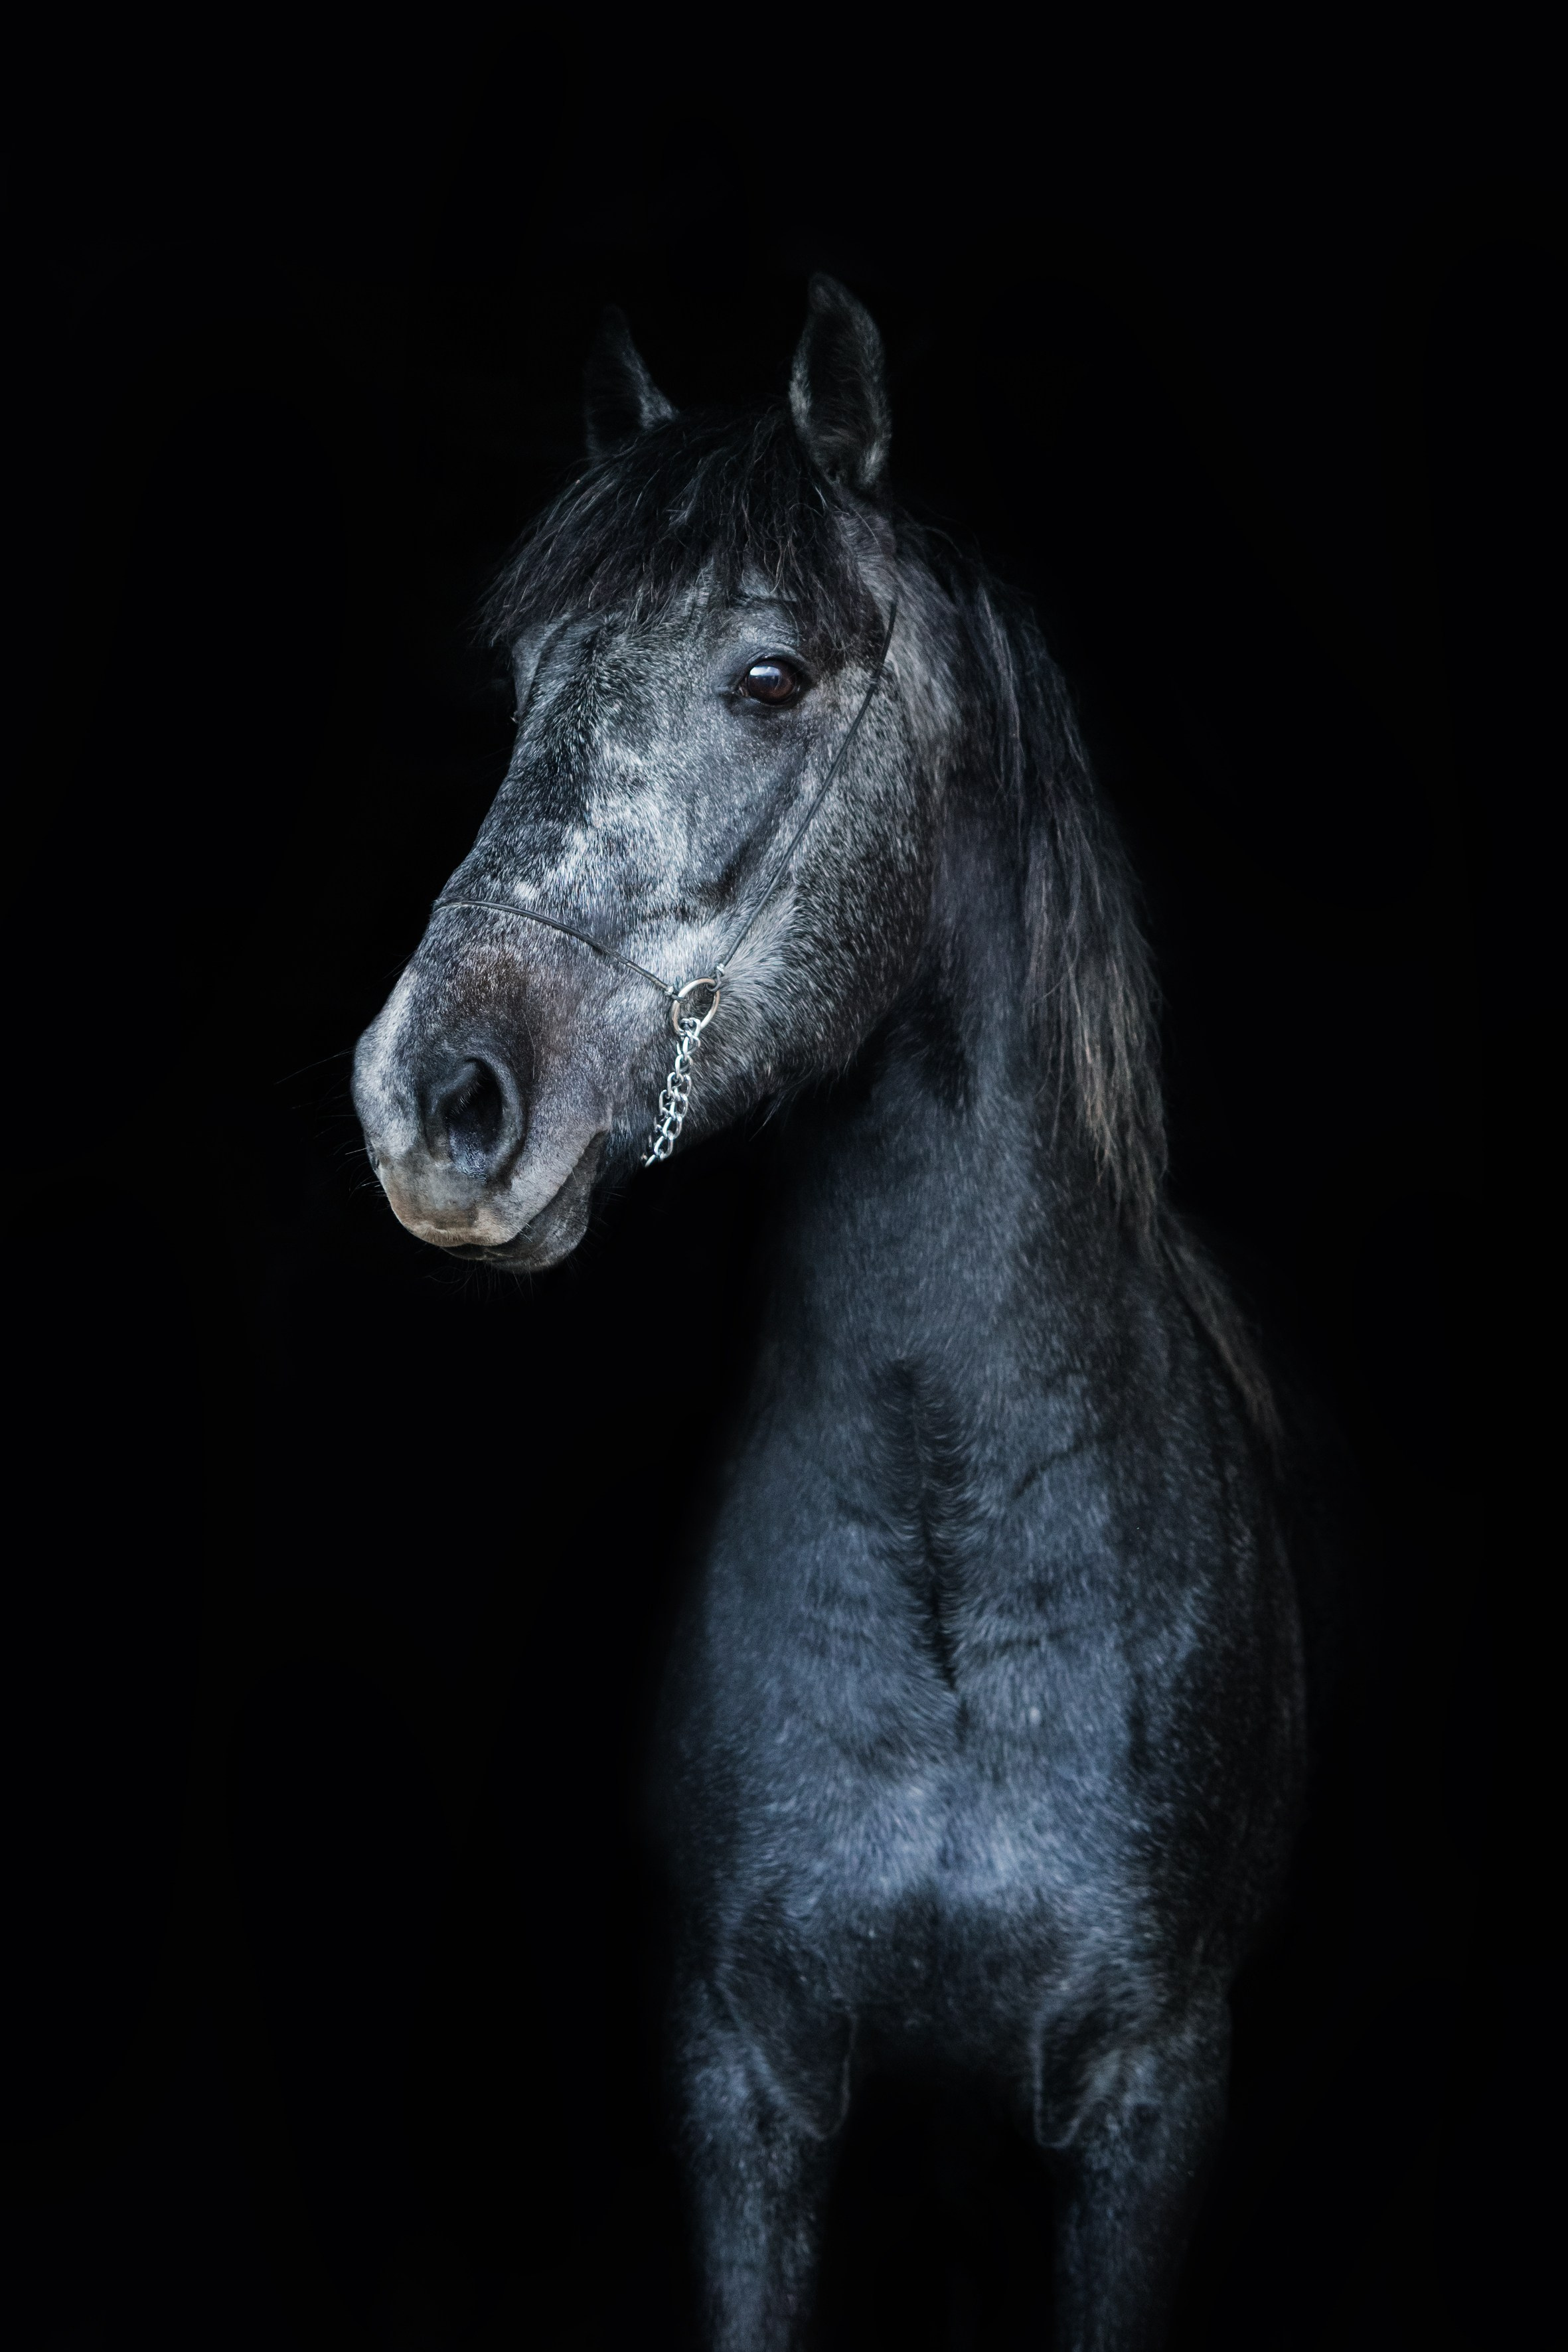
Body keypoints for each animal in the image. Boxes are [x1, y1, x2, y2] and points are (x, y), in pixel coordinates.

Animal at [352, 277, 1309, 2350]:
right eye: (530, 677)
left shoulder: (1152, 2100)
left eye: (772, 676)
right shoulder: (746, 2073)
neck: (954, 1559)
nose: (428, 1099)